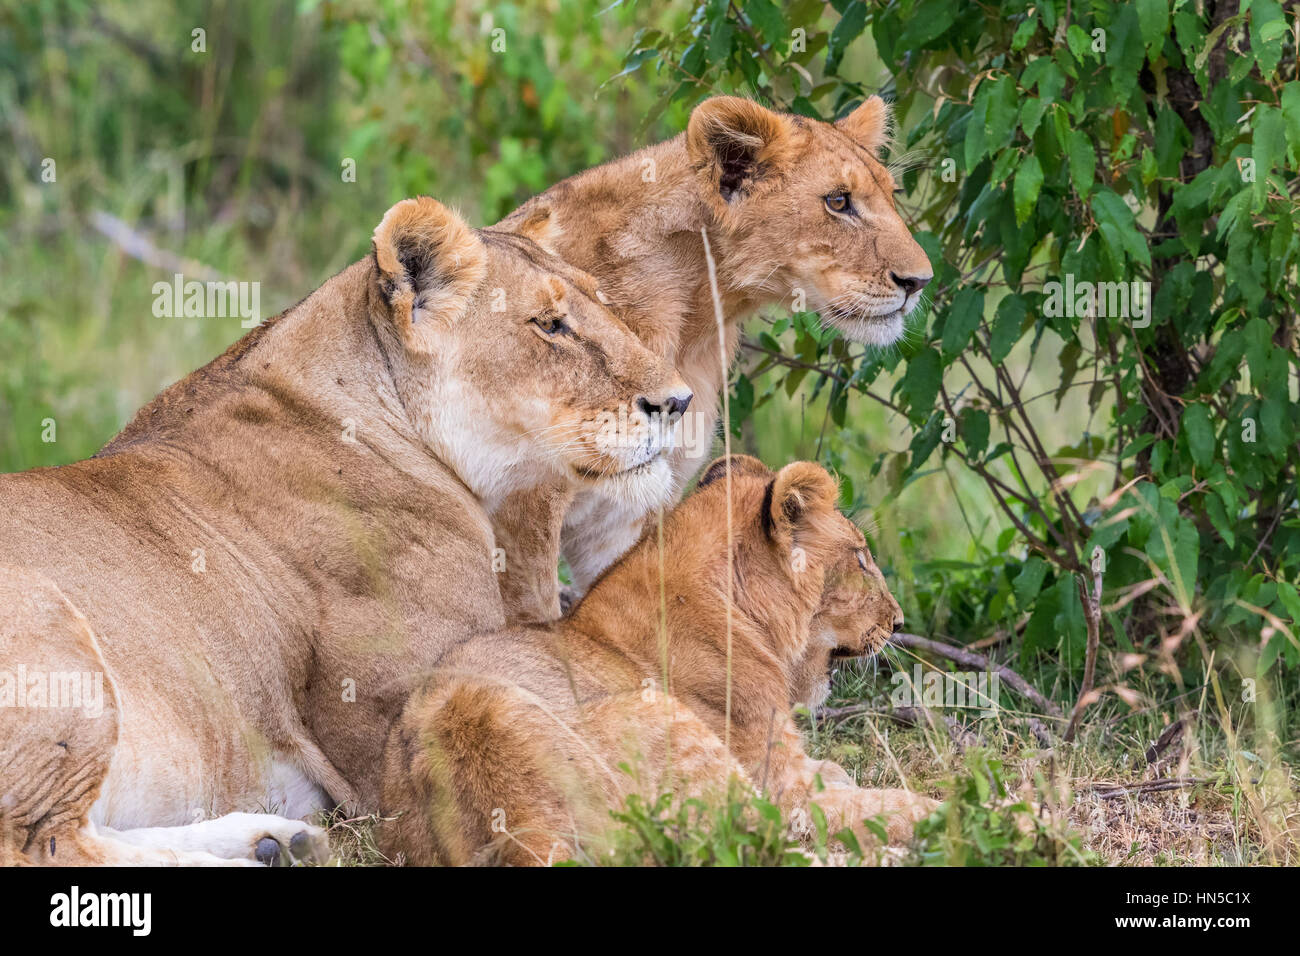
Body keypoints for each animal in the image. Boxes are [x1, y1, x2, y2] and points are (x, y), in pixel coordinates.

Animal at [0, 196, 690, 865]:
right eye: (550, 325)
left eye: (605, 306)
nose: (679, 402)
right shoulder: (415, 714)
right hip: (49, 622)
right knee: (47, 845)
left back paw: (275, 842)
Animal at [491, 95, 935, 621]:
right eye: (838, 202)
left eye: (893, 194)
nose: (920, 282)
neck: (695, 315)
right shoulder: (520, 519)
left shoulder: (628, 513)